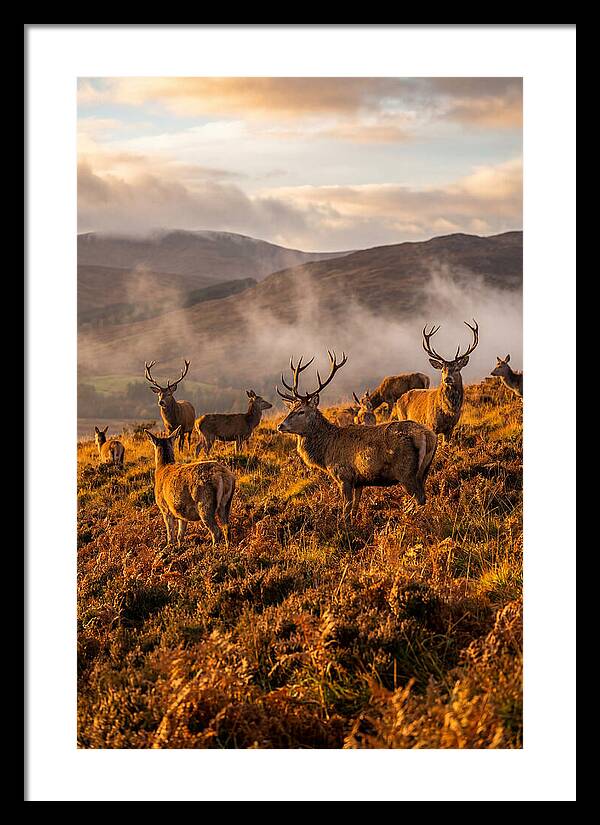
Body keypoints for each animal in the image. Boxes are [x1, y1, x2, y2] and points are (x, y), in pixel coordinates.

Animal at [276, 351, 437, 521]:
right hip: (425, 469)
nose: (280, 425)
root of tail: (427, 435)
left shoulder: (343, 476)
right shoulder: (360, 481)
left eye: (301, 411)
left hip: (406, 472)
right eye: (290, 410)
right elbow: (355, 508)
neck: (326, 453)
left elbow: (346, 509)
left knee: (419, 498)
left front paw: (344, 525)